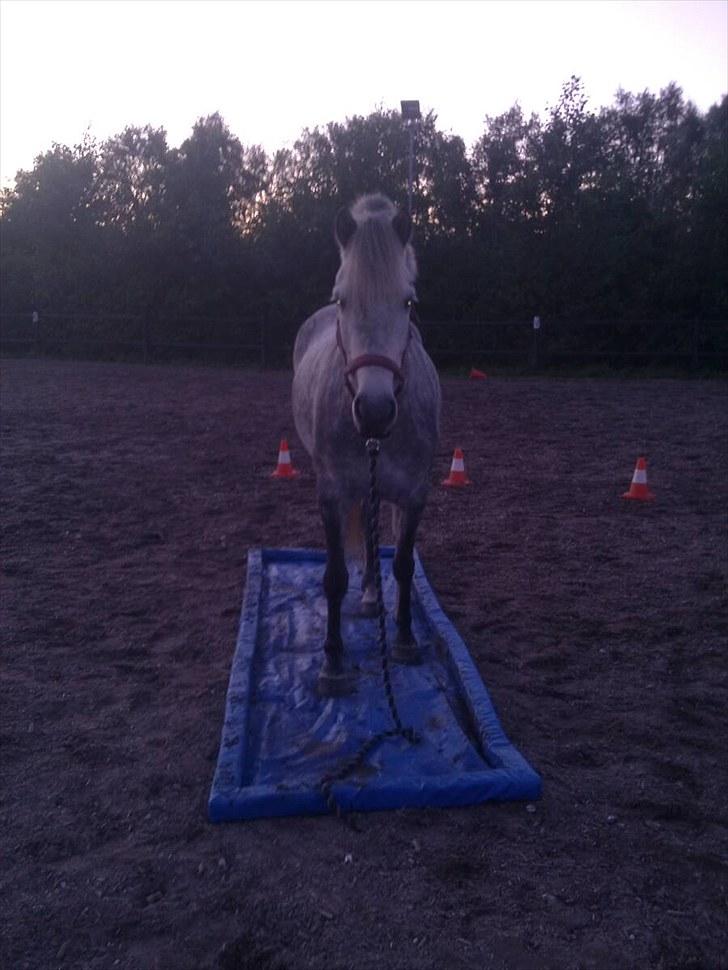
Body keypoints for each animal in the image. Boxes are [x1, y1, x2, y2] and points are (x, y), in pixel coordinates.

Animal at [292, 193, 440, 692]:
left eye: (408, 301)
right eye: (342, 299)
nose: (374, 411)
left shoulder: (415, 494)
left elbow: (405, 565)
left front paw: (406, 640)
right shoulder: (332, 495)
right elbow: (334, 577)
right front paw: (332, 661)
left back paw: (375, 597)